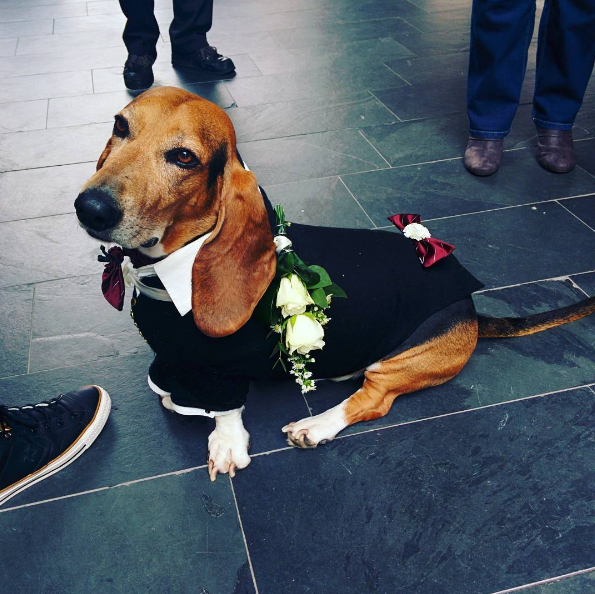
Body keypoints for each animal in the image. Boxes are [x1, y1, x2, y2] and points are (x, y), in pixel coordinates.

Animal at [73, 85, 595, 478]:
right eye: (120, 126)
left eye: (184, 157)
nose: (90, 208)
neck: (167, 269)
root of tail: (468, 306)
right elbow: (168, 384)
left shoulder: (223, 372)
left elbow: (226, 410)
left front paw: (225, 442)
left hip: (402, 359)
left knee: (374, 400)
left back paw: (318, 426)